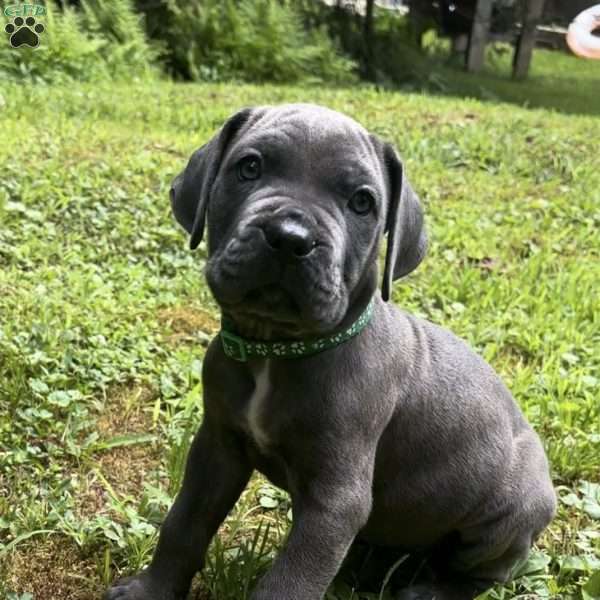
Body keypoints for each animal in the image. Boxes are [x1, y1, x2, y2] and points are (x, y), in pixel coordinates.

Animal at [104, 104, 556, 600]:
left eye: (362, 202)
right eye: (249, 167)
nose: (290, 236)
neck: (278, 349)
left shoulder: (336, 500)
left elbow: (288, 583)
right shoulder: (216, 449)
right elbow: (183, 524)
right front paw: (150, 590)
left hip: (506, 516)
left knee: (486, 573)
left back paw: (428, 590)